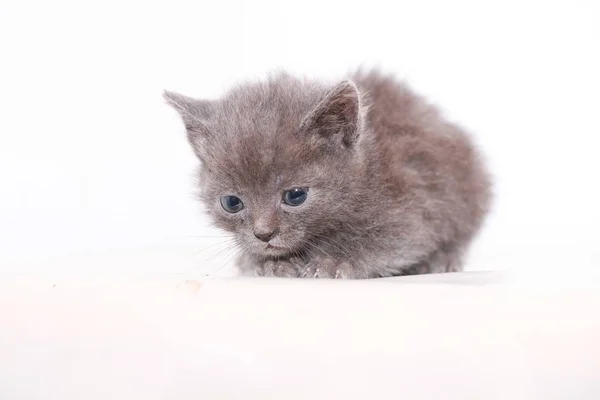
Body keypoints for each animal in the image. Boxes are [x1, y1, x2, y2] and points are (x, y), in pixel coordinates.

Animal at [163, 69, 488, 278]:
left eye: (295, 196)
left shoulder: (409, 207)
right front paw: (268, 263)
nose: (263, 233)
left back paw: (442, 260)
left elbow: (391, 242)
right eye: (231, 203)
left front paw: (333, 261)